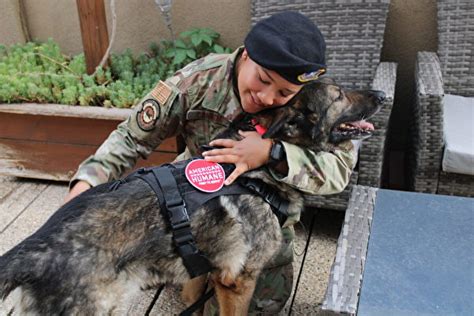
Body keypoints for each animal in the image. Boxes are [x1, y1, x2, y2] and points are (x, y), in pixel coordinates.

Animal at [0, 80, 386, 314]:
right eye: (339, 95)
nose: (382, 95)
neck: (256, 173)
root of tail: (30, 251)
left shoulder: (206, 269)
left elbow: (195, 295)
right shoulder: (238, 282)